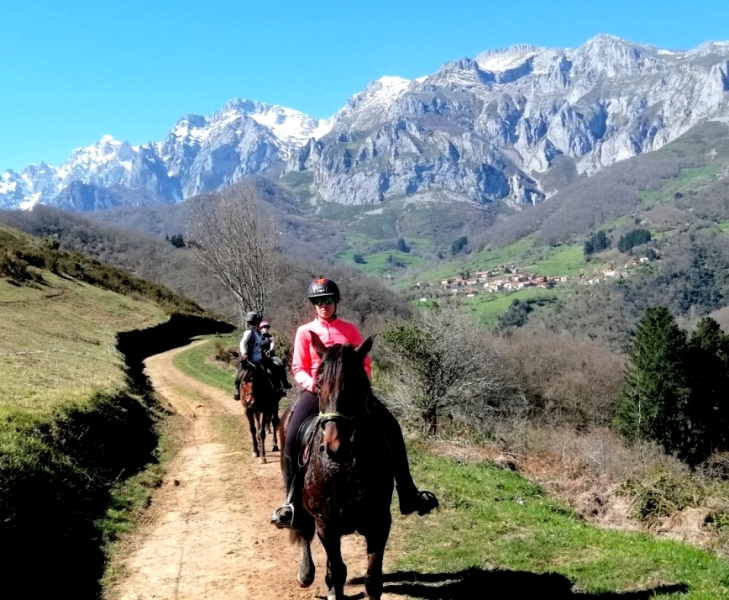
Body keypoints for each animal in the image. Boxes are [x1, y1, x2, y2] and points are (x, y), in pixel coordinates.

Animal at [278, 332, 392, 600]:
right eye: (319, 381)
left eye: (357, 382)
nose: (334, 446)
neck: (345, 469)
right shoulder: (326, 524)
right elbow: (338, 571)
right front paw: (331, 587)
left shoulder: (379, 523)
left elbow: (373, 580)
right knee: (303, 530)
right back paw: (306, 573)